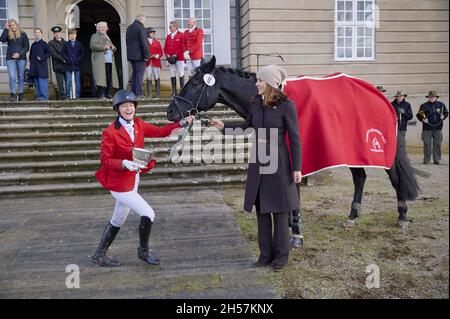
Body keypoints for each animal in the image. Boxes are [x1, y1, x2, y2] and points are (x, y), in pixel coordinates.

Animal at [167, 57, 420, 242]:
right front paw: (290, 223)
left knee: (394, 177)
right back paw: (352, 216)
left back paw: (402, 215)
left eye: (195, 84)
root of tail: (379, 95)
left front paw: (296, 230)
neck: (274, 98)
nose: (170, 111)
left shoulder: (296, 158)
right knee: (360, 178)